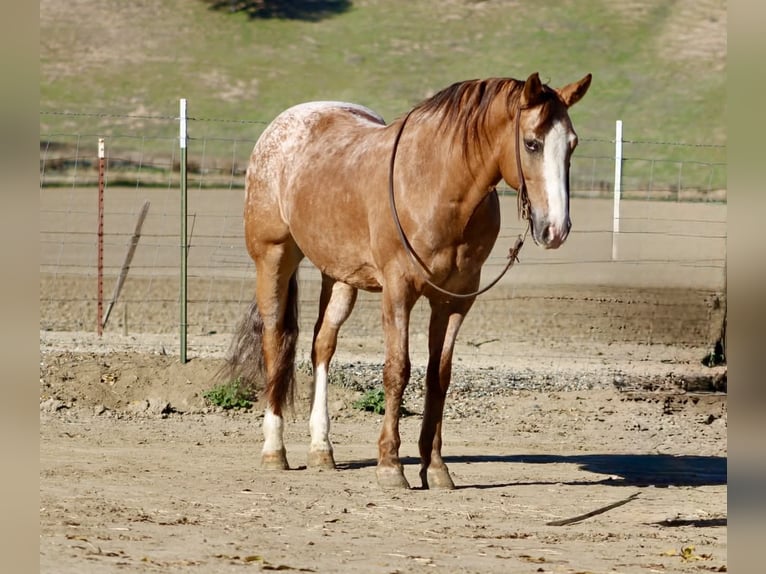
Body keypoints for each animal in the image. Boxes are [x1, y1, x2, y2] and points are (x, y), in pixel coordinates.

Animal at [223, 72, 592, 489]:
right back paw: (274, 450)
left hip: (339, 277)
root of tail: (281, 127)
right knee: (274, 341)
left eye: (572, 143)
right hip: (274, 257)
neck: (439, 186)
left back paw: (321, 450)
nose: (556, 229)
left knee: (322, 346)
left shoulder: (455, 299)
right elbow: (397, 370)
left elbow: (438, 376)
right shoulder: (398, 291)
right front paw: (390, 465)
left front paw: (435, 468)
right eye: (532, 143)